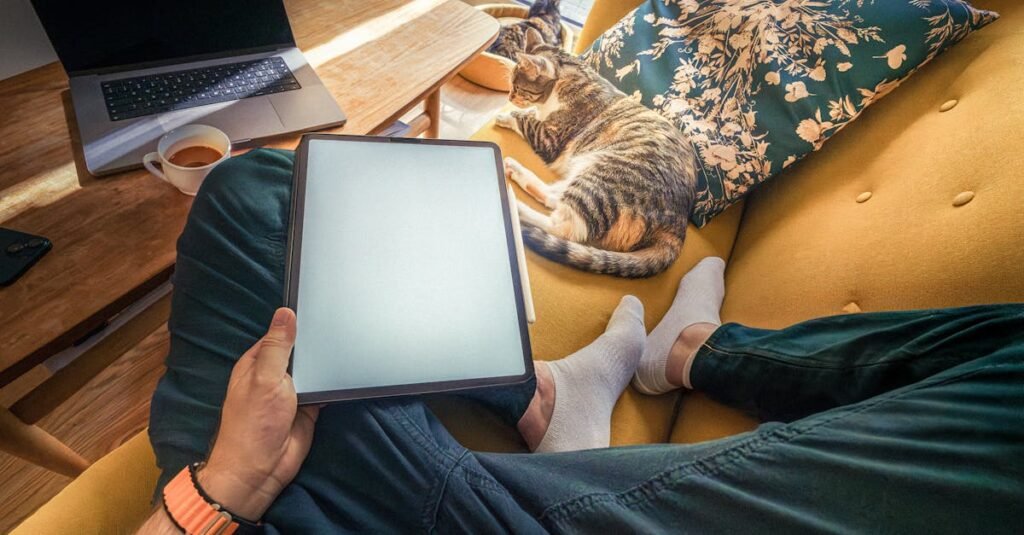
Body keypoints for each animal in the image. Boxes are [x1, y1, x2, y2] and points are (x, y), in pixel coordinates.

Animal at [493, 29, 696, 276]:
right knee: (554, 197)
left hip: (602, 177)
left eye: (517, 87)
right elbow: (531, 113)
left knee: (565, 227)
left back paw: (516, 208)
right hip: (586, 172)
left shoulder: (550, 137)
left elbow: (525, 119)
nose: (509, 97)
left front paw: (506, 115)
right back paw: (515, 171)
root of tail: (679, 223)